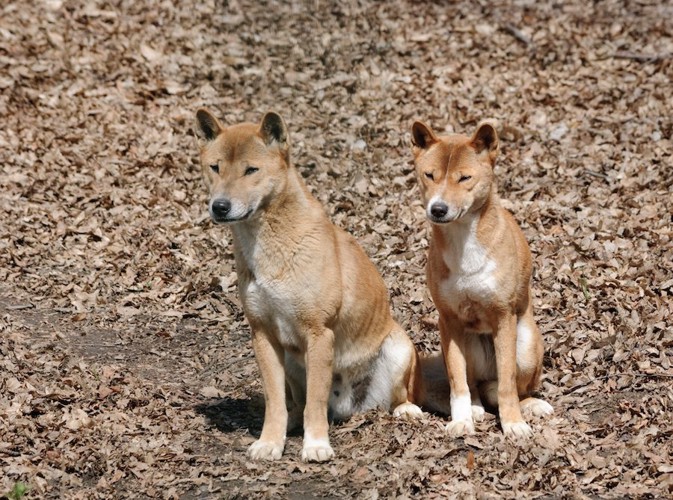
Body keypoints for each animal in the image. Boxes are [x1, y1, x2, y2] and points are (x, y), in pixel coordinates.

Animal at [193, 108, 426, 460]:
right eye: (215, 167)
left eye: (251, 170)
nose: (219, 206)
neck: (268, 244)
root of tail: (348, 408)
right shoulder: (263, 335)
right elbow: (276, 401)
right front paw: (270, 442)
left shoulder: (319, 333)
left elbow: (315, 403)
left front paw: (316, 444)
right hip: (292, 361)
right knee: (295, 404)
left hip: (398, 347)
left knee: (395, 396)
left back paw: (405, 410)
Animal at [410, 120, 552, 438]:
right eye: (430, 175)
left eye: (464, 178)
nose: (438, 209)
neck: (464, 245)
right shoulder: (448, 320)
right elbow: (458, 382)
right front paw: (461, 420)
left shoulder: (503, 315)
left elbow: (508, 384)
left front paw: (512, 423)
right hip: (468, 343)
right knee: (476, 385)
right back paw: (476, 408)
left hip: (526, 345)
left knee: (514, 386)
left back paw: (530, 405)